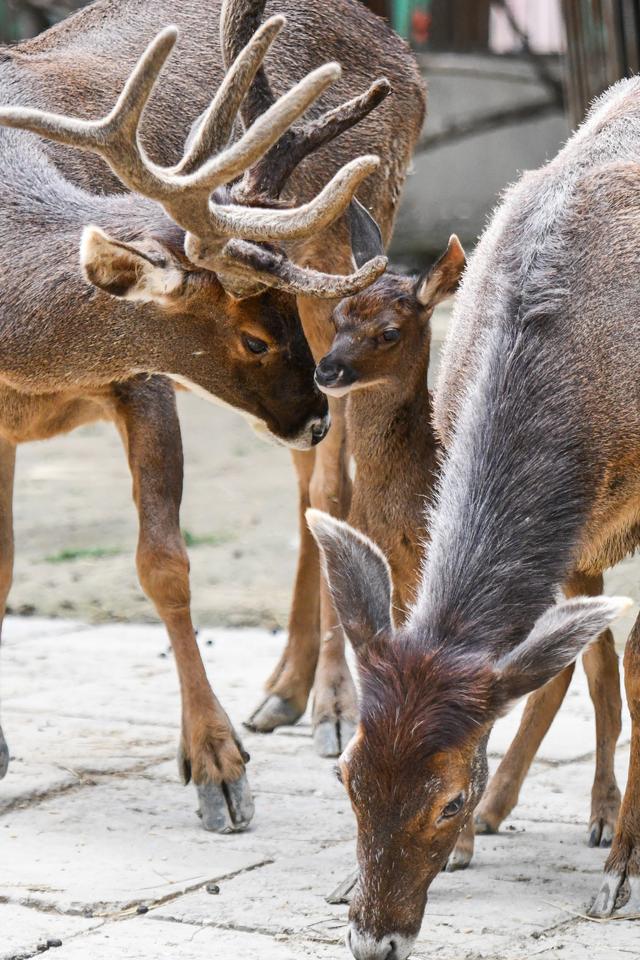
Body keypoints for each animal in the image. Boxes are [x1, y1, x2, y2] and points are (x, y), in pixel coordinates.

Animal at [0, 0, 424, 832]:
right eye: (254, 335)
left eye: (277, 316)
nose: (314, 414)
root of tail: (405, 60)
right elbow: (3, 564)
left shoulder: (144, 380)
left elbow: (165, 564)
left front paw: (216, 768)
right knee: (306, 489)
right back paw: (283, 691)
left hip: (349, 277)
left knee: (336, 492)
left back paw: (335, 706)